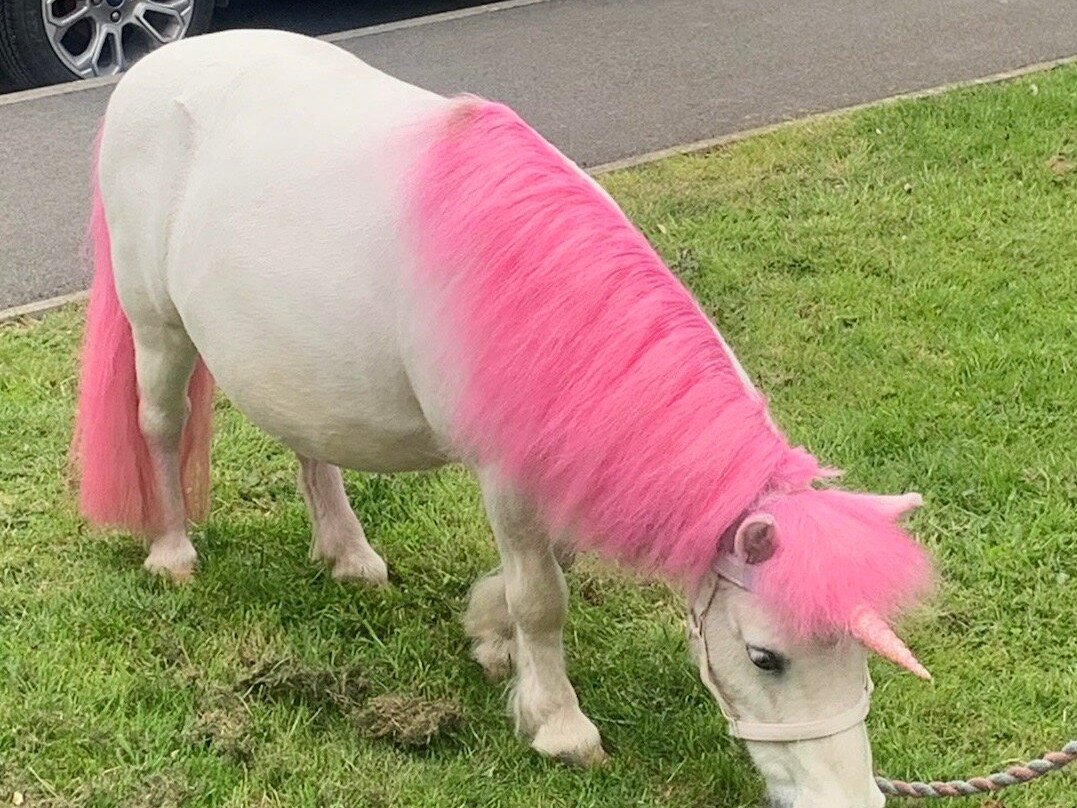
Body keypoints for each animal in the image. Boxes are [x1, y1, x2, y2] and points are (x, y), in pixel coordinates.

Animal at [72, 30, 934, 808]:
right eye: (763, 657)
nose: (850, 801)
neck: (546, 297)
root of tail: (152, 67)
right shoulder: (509, 473)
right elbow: (542, 595)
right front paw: (556, 722)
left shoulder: (557, 450)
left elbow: (552, 565)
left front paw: (490, 639)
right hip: (156, 329)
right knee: (159, 424)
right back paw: (172, 552)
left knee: (309, 446)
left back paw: (348, 554)